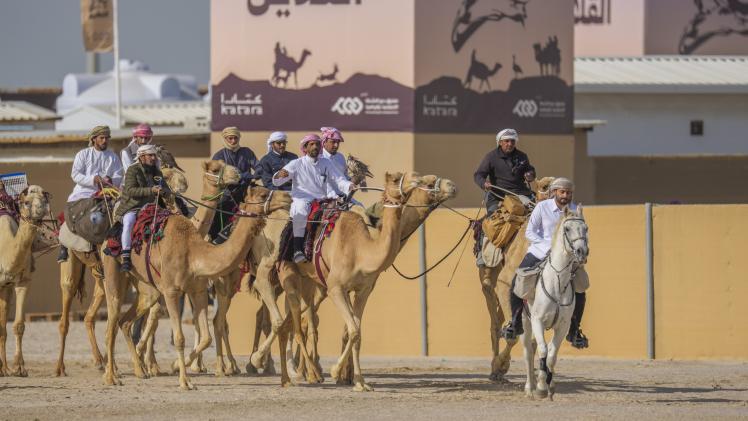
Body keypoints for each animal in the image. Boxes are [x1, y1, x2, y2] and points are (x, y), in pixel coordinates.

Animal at [0, 185, 51, 377]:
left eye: (44, 199)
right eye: (27, 202)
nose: (41, 210)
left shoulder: (22, 281)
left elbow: (18, 325)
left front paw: (19, 367)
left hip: (5, 287)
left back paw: (4, 368)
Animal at [55, 161, 240, 377]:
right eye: (215, 168)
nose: (236, 174)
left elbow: (157, 315)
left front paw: (152, 363)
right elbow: (155, 314)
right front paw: (150, 362)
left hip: (102, 277)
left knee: (92, 316)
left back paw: (105, 363)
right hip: (73, 261)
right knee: (69, 310)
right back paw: (63, 368)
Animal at [100, 185, 285, 389]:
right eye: (262, 194)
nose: (288, 197)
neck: (194, 252)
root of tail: (106, 238)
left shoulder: (199, 290)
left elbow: (206, 337)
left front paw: (179, 367)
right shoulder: (172, 292)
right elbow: (180, 338)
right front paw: (185, 381)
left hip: (147, 288)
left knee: (125, 321)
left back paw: (140, 371)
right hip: (112, 273)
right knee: (111, 326)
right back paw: (111, 377)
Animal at [271, 171, 424, 391]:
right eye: (396, 179)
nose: (419, 179)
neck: (361, 251)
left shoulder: (363, 290)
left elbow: (358, 333)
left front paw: (360, 383)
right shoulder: (336, 288)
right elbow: (352, 330)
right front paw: (336, 371)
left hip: (308, 282)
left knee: (288, 326)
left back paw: (286, 380)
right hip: (289, 275)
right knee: (299, 330)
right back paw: (314, 374)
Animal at [477, 177, 555, 382]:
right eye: (544, 186)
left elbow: (534, 340)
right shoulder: (505, 283)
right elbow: (512, 334)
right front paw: (499, 367)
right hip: (489, 278)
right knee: (495, 321)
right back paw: (494, 369)